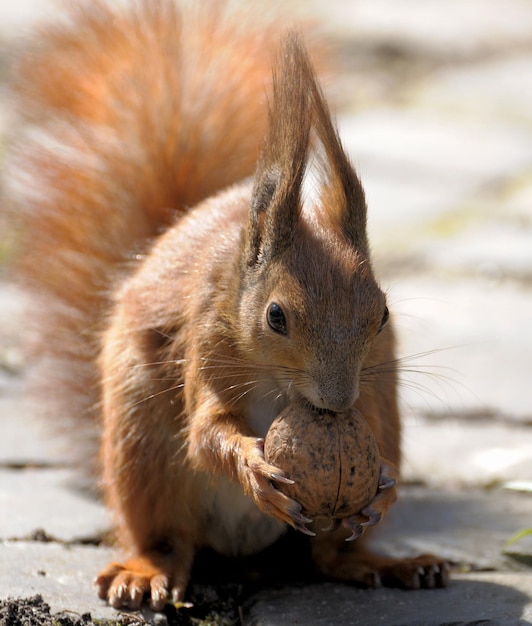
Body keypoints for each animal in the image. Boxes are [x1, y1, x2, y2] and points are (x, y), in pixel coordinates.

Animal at [8, 0, 448, 608]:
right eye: (276, 317)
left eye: (381, 314)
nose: (339, 403)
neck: (282, 384)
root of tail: (246, 552)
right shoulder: (206, 341)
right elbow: (207, 431)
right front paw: (253, 468)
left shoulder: (376, 382)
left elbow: (374, 440)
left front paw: (382, 481)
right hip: (141, 452)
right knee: (169, 539)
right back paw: (143, 573)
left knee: (329, 558)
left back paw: (390, 564)